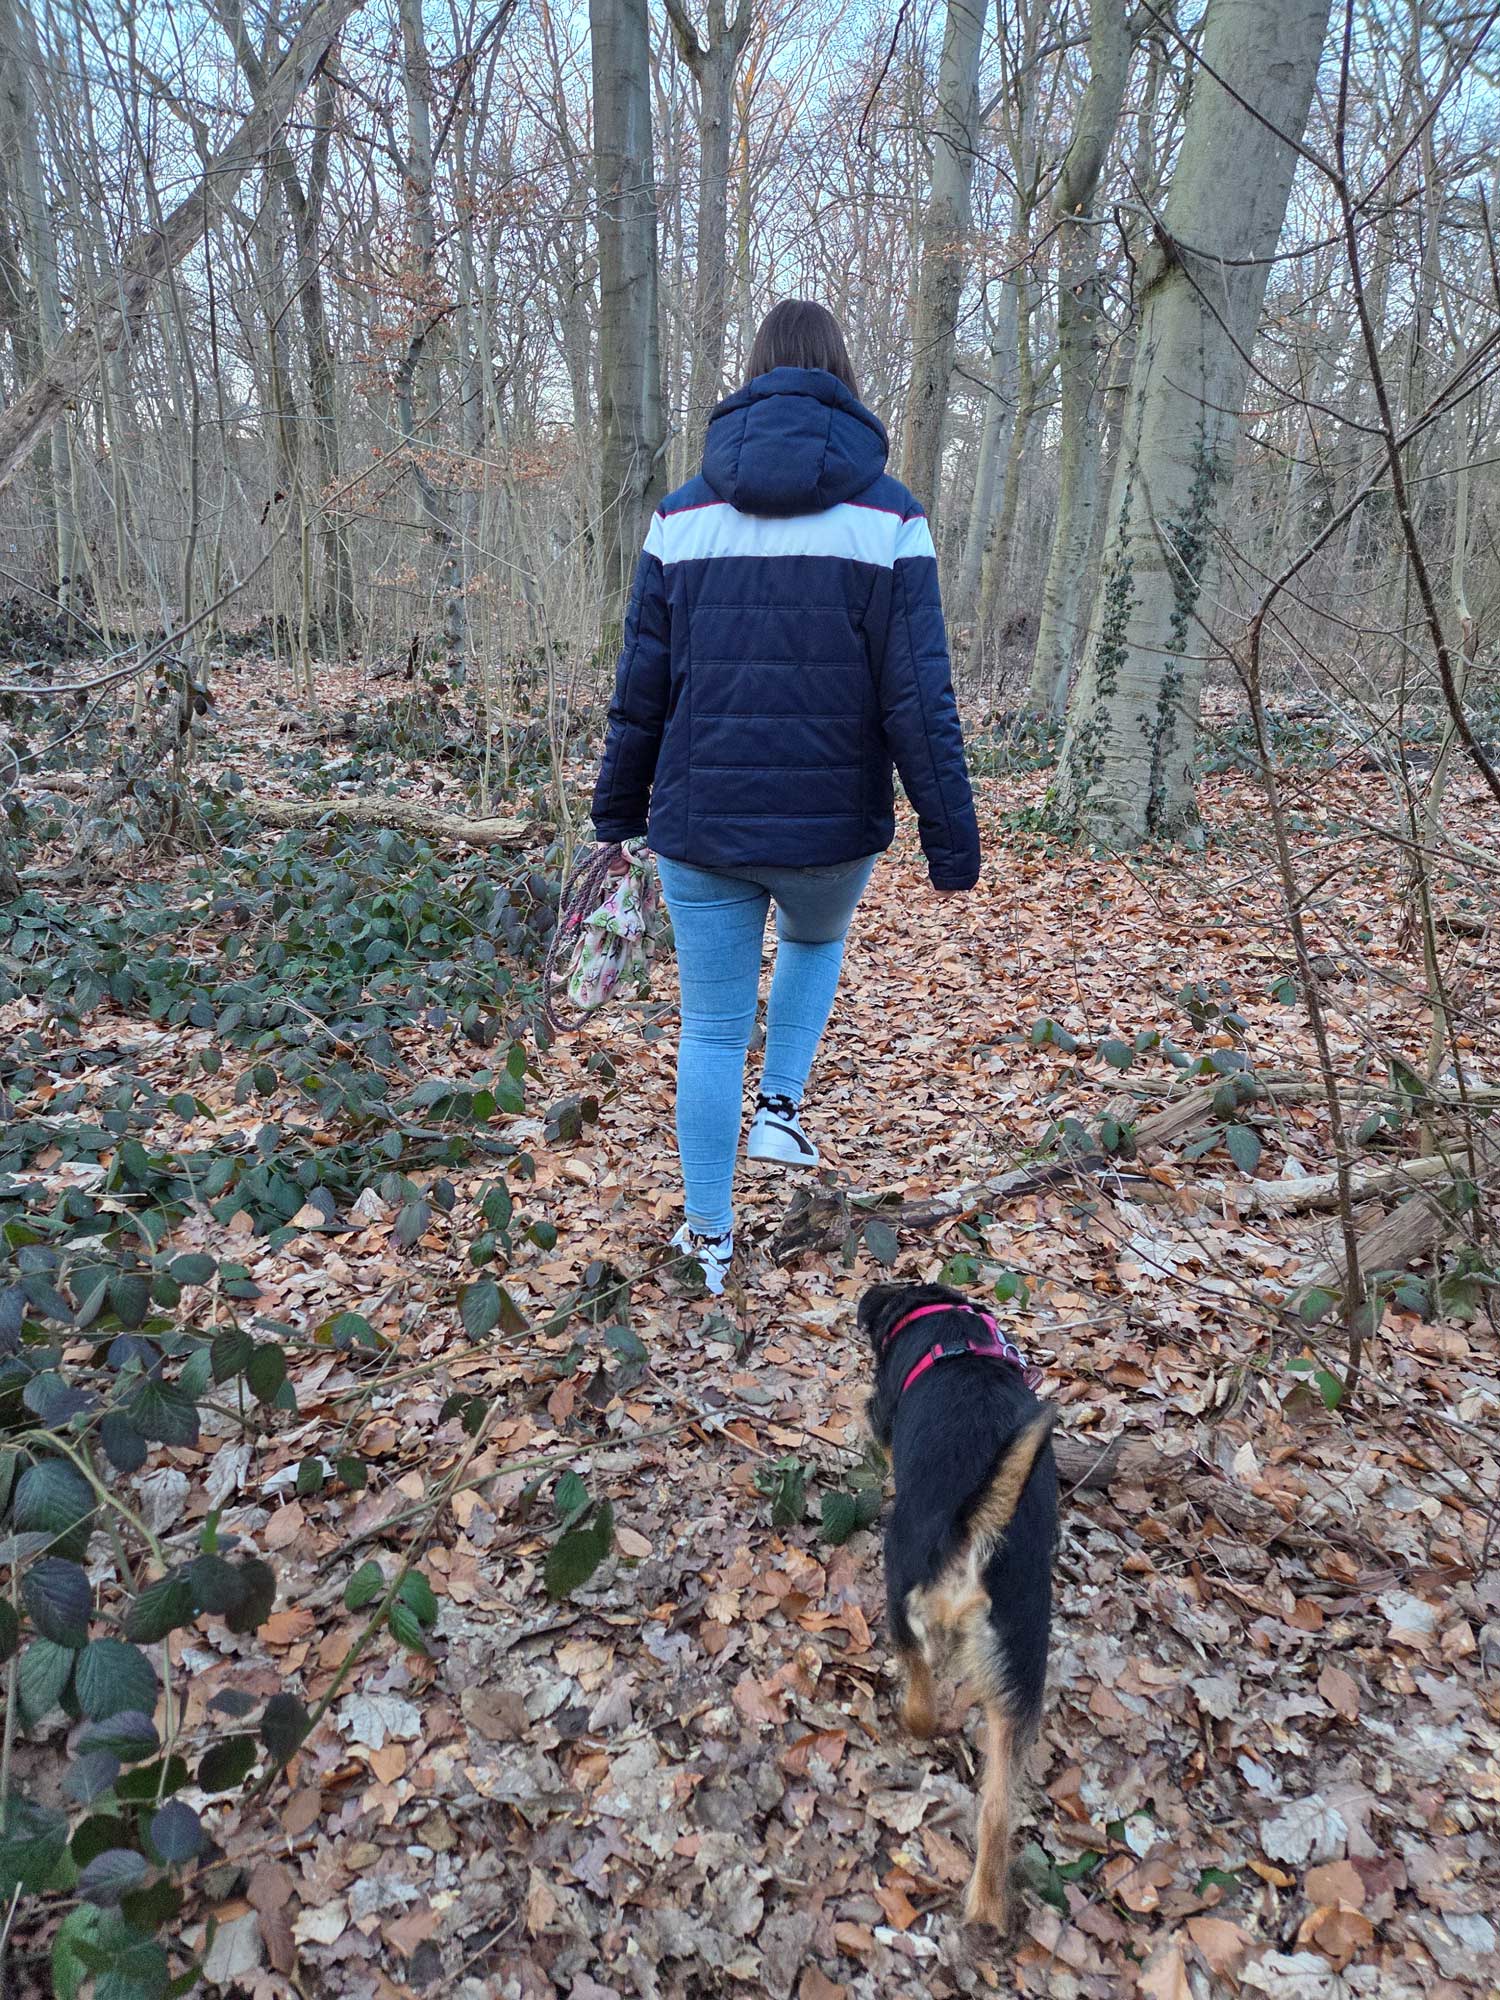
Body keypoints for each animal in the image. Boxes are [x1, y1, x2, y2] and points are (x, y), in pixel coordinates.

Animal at [860, 1281, 1059, 1929]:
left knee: (921, 1690)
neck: (953, 1331)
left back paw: (921, 1718)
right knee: (996, 1810)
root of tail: (977, 1534)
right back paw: (987, 1909)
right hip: (1021, 1667)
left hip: (899, 1585)